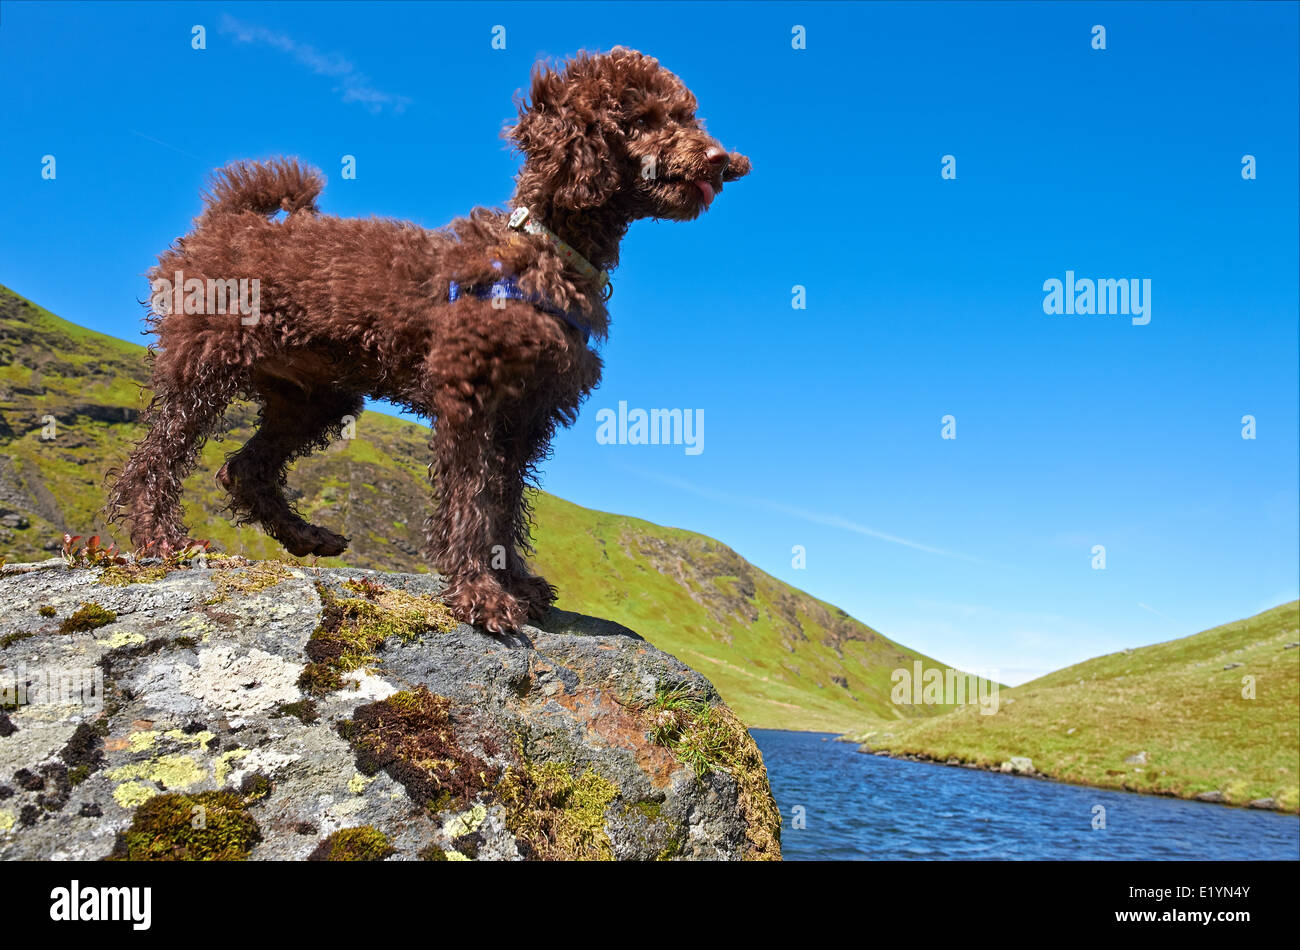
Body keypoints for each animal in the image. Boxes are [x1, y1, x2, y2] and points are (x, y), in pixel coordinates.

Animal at [106, 48, 754, 634]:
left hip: (314, 397)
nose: (723, 159)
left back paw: (306, 535)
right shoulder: (469, 397)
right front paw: (480, 596)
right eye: (641, 118)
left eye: (687, 114)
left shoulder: (525, 417)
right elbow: (471, 502)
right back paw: (162, 539)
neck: (547, 249)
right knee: (154, 460)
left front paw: (515, 582)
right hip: (205, 365)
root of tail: (230, 220)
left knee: (245, 470)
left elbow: (504, 505)